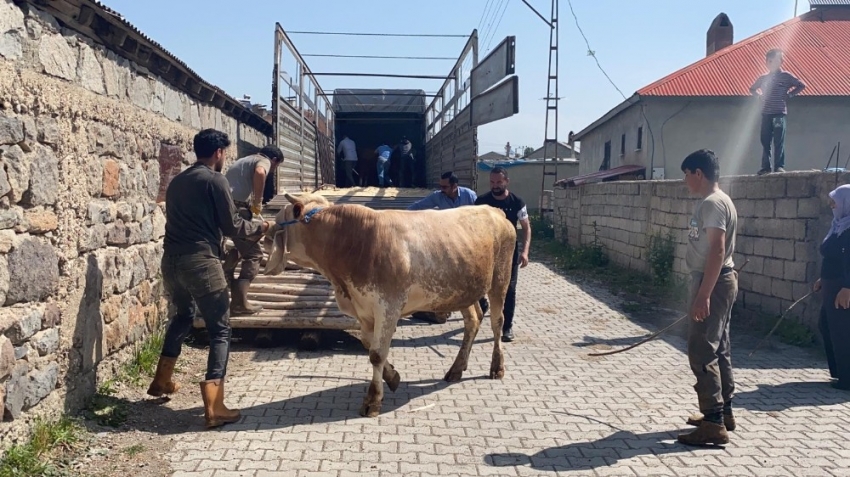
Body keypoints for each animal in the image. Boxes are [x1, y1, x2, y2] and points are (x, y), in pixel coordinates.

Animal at [264, 192, 512, 414]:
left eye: (279, 218)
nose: (265, 232)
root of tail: (495, 211)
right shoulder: (363, 310)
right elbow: (368, 344)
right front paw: (392, 377)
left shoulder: (388, 307)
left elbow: (376, 354)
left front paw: (373, 400)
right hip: (463, 291)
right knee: (473, 320)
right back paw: (456, 369)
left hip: (500, 281)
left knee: (497, 322)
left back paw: (497, 367)